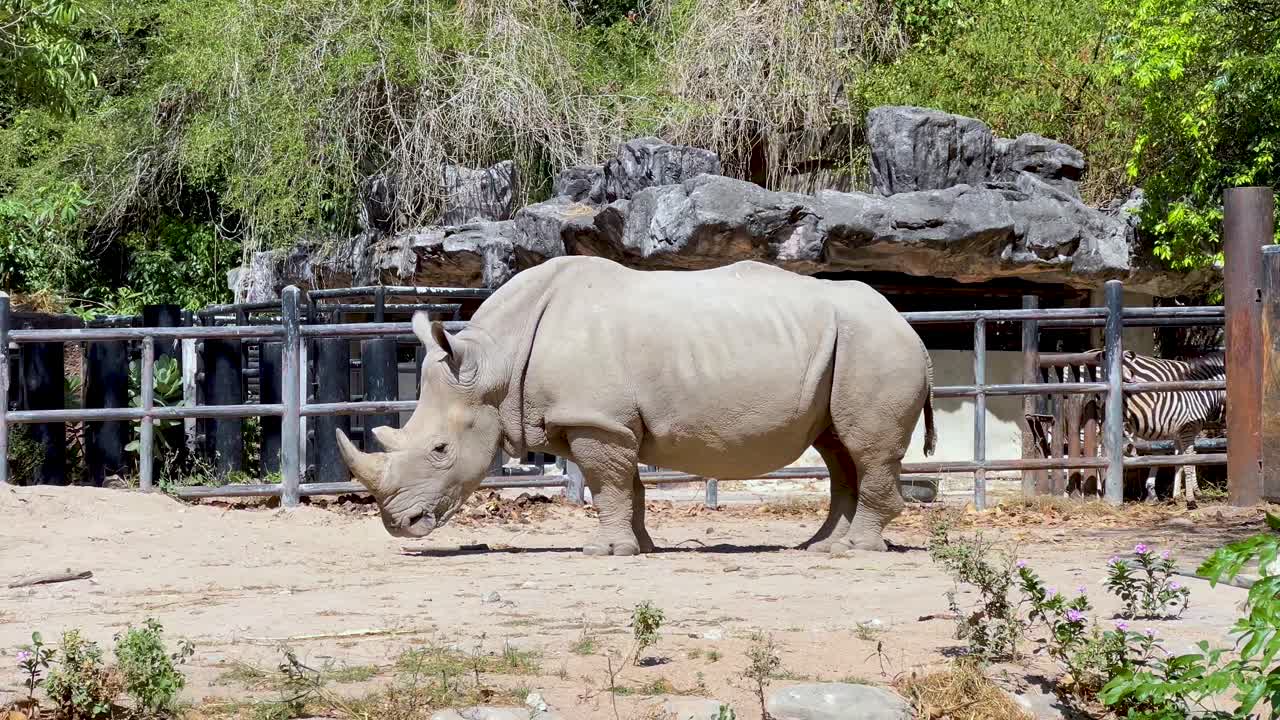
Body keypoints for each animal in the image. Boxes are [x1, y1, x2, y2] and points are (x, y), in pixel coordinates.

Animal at [336, 256, 936, 555]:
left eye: (440, 449)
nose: (398, 525)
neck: (495, 365)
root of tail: (911, 328)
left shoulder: (595, 420)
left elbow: (607, 485)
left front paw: (605, 553)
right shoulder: (610, 421)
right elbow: (629, 487)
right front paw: (643, 547)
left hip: (875, 345)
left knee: (864, 448)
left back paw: (854, 552)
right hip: (853, 347)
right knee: (838, 450)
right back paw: (818, 548)